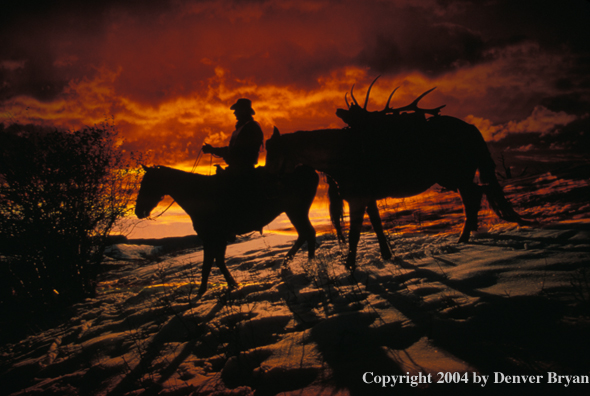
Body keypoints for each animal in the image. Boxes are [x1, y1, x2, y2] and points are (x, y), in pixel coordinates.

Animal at [135, 164, 320, 294]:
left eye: (148, 183)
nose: (138, 211)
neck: (198, 195)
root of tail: (310, 171)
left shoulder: (214, 237)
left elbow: (211, 263)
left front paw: (211, 289)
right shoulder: (214, 238)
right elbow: (214, 262)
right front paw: (224, 286)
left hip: (296, 210)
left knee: (309, 233)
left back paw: (309, 266)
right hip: (293, 211)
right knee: (304, 234)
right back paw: (287, 263)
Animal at [266, 116, 528, 272]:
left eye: (274, 151)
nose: (270, 179)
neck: (343, 154)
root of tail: (470, 128)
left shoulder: (357, 200)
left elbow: (354, 235)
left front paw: (350, 266)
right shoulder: (367, 198)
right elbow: (377, 226)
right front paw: (386, 255)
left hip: (455, 177)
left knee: (475, 195)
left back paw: (464, 237)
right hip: (456, 179)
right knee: (474, 195)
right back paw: (467, 236)